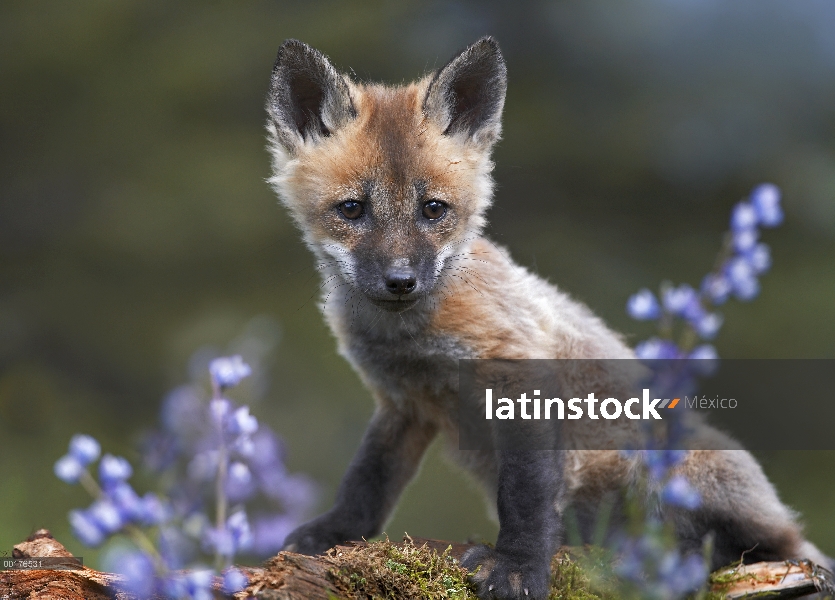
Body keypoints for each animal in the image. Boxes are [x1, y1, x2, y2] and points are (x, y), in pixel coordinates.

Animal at [262, 37, 828, 600]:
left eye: (433, 209)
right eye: (352, 209)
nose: (401, 281)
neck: (412, 342)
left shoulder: (519, 376)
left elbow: (524, 497)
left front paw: (515, 568)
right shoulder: (402, 402)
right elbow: (367, 482)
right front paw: (330, 536)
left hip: (680, 468)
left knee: (755, 546)